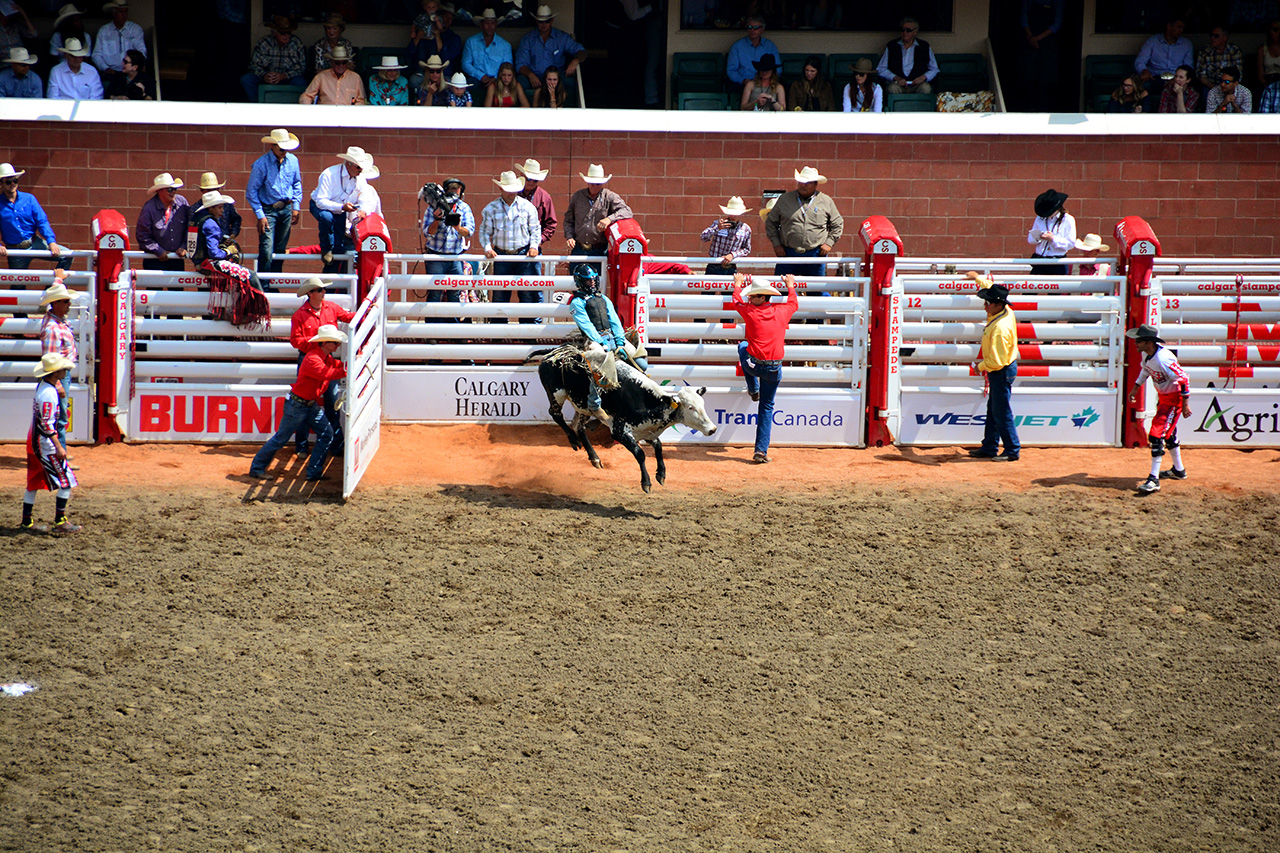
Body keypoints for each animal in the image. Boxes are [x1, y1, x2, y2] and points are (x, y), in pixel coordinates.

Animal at [524, 345, 716, 491]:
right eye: (691, 407)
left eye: (702, 404)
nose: (712, 429)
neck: (648, 401)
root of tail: (555, 352)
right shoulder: (620, 431)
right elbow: (640, 454)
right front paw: (646, 483)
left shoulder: (646, 431)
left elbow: (659, 447)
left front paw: (661, 474)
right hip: (556, 394)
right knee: (556, 414)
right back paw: (573, 440)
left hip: (584, 407)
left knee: (578, 426)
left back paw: (595, 458)